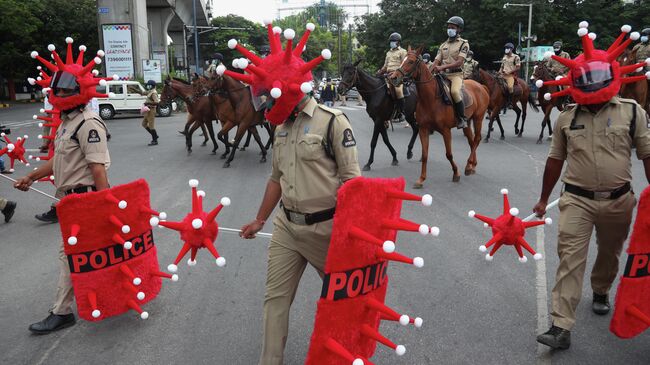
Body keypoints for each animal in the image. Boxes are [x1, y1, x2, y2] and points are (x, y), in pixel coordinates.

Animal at [384, 45, 486, 188]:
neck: (430, 99)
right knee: (471, 141)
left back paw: (468, 166)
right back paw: (471, 166)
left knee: (476, 139)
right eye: (402, 60)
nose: (393, 78)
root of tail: (481, 86)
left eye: (410, 61)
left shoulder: (446, 131)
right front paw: (421, 179)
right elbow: (425, 155)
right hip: (467, 123)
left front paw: (456, 174)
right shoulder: (423, 129)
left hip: (478, 119)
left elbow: (449, 154)